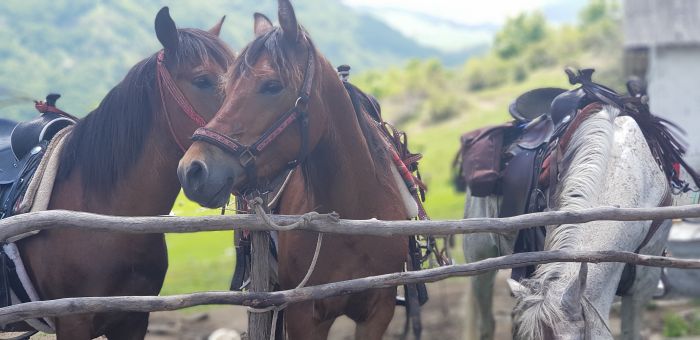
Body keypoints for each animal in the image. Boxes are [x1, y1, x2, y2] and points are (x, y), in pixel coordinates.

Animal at [178, 1, 412, 338]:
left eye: (272, 85)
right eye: (228, 88)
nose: (192, 169)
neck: (350, 221)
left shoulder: (378, 312)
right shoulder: (304, 317)